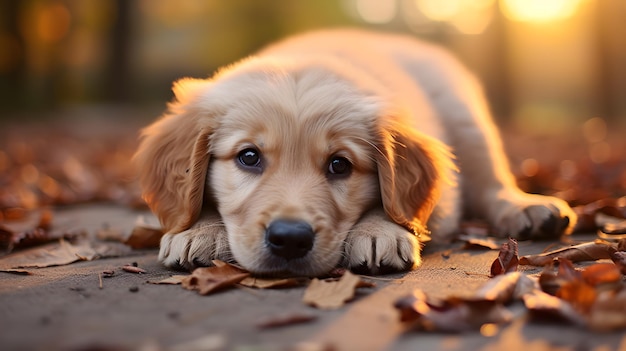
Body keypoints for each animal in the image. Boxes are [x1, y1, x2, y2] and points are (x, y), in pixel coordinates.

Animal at [133, 29, 576, 278]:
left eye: (339, 165)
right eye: (248, 157)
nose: (290, 239)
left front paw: (379, 231)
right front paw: (198, 230)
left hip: (464, 114)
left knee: (491, 180)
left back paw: (526, 207)